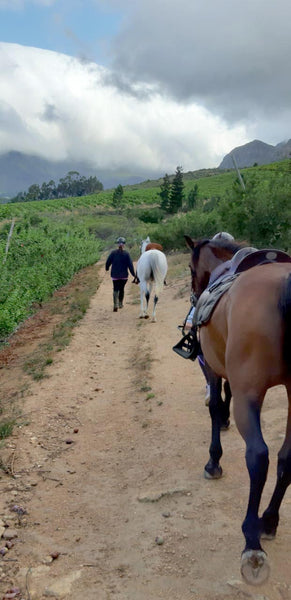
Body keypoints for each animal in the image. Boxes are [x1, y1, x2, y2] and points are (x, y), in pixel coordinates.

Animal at [186, 236, 291, 584]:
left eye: (190, 267)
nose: (194, 293)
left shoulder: (212, 367)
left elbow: (216, 406)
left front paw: (213, 461)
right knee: (287, 457)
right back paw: (268, 521)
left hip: (250, 395)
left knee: (258, 456)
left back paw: (252, 540)